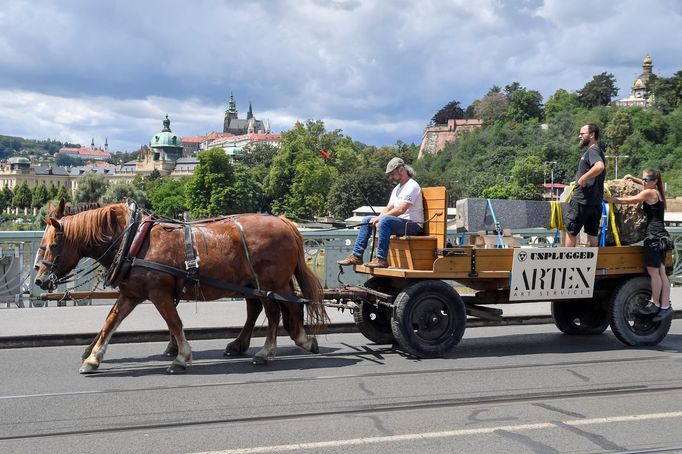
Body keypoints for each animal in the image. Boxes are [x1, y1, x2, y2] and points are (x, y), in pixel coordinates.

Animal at [34, 200, 326, 374]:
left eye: (53, 245)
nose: (39, 279)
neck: (134, 240)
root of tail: (285, 221)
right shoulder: (131, 294)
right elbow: (110, 322)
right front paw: (93, 357)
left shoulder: (159, 293)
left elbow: (174, 322)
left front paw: (181, 356)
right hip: (257, 284)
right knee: (270, 309)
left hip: (269, 284)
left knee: (277, 311)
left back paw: (269, 351)